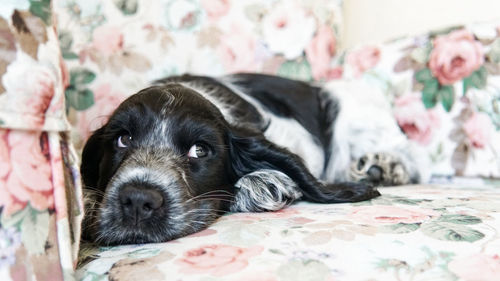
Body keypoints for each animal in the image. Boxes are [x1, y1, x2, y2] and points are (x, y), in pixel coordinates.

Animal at [81, 73, 426, 244]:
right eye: (123, 139)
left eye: (199, 150)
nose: (138, 200)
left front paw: (263, 183)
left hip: (348, 101)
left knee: (411, 156)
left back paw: (382, 167)